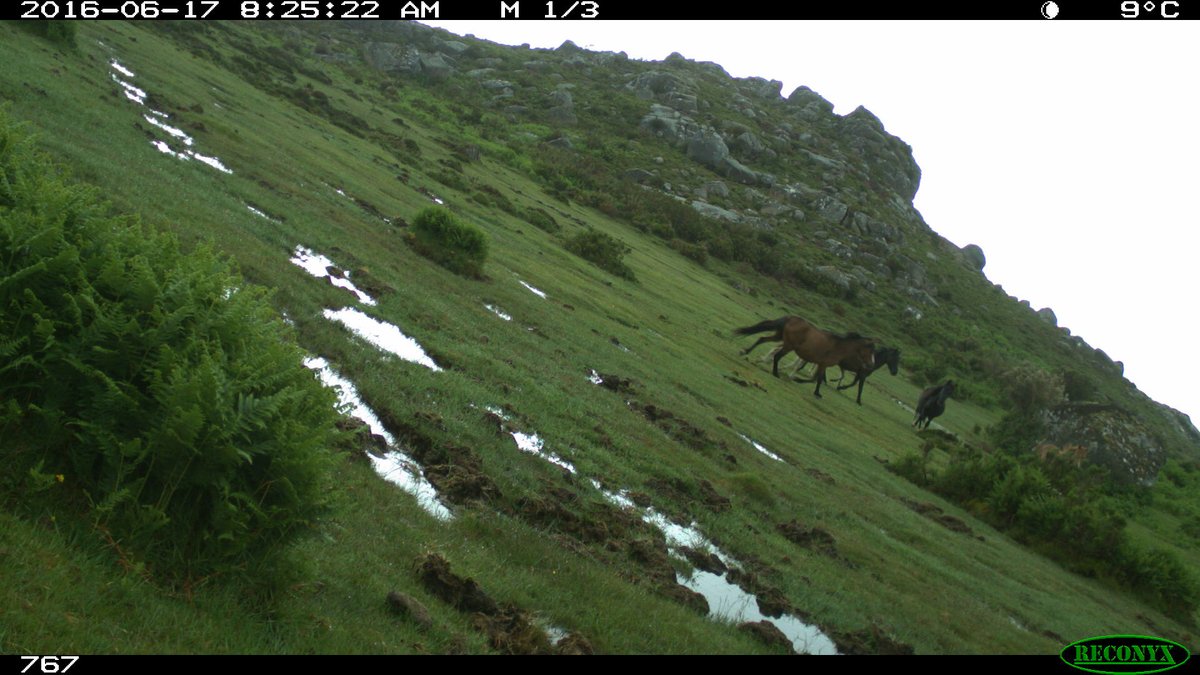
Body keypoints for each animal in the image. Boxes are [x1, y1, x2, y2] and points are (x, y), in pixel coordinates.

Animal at [735, 316, 876, 398]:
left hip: (779, 337)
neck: (838, 346)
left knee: (762, 339)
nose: (871, 365)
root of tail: (791, 319)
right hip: (789, 345)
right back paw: (775, 373)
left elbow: (816, 379)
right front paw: (815, 392)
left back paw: (745, 352)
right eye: (870, 351)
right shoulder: (823, 364)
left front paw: (799, 380)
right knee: (777, 356)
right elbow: (817, 380)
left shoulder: (821, 364)